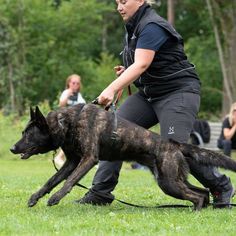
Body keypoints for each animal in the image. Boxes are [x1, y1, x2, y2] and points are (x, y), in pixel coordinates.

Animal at [10, 105, 236, 210]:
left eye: (28, 134)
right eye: (23, 132)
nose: (12, 148)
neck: (67, 122)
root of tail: (173, 144)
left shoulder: (88, 159)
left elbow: (69, 182)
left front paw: (56, 198)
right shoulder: (71, 162)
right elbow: (51, 181)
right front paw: (35, 197)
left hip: (169, 183)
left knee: (197, 195)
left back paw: (197, 210)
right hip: (171, 180)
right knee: (202, 192)